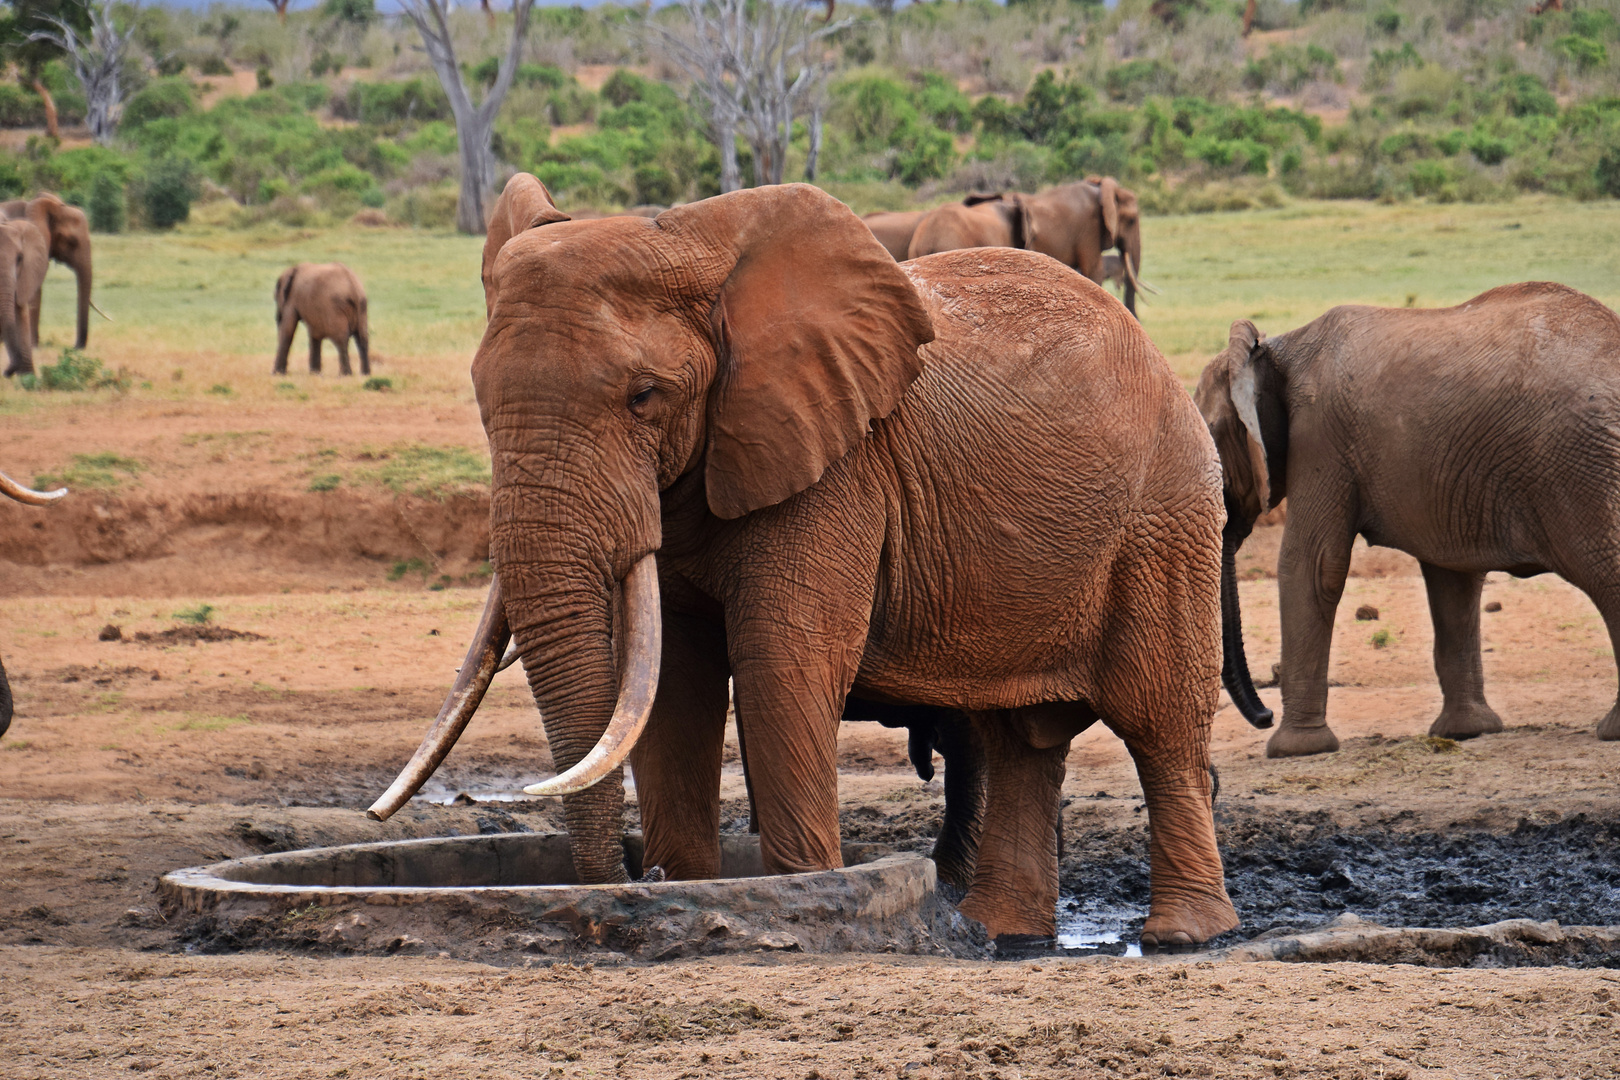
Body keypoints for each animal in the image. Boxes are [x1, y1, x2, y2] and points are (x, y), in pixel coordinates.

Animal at [370, 175, 1237, 945]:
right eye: (481, 399)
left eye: (644, 396)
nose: (632, 877)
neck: (698, 250)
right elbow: (672, 682)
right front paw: (692, 886)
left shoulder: (838, 466)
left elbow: (781, 660)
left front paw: (801, 891)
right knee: (1020, 738)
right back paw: (1003, 934)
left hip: (1166, 515)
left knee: (1158, 721)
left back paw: (1182, 935)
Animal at [1192, 284, 1620, 761]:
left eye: (1211, 434)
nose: (1264, 715)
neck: (1273, 350)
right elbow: (1453, 579)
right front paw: (1467, 732)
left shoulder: (1320, 438)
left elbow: (1312, 565)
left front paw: (1293, 750)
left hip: (1580, 467)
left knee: (1606, 571)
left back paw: (1612, 730)